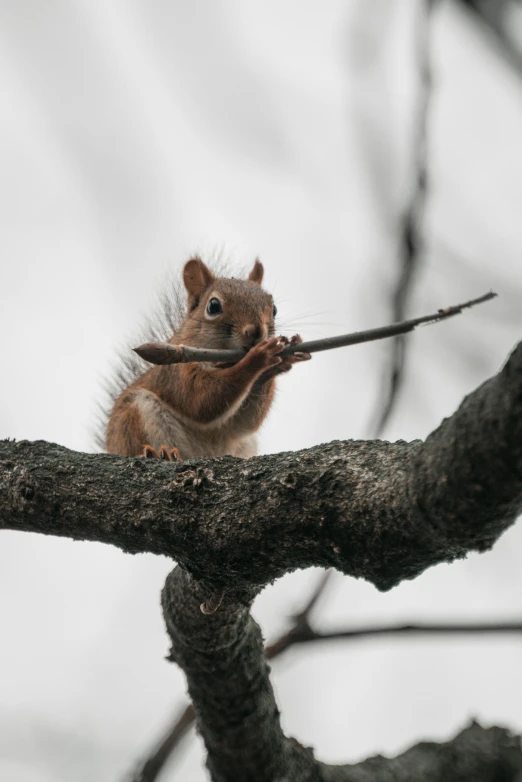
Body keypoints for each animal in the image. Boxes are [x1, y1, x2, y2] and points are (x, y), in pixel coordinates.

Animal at [103, 258, 310, 462]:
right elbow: (201, 400)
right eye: (213, 306)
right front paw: (259, 357)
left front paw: (280, 359)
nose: (256, 332)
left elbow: (245, 421)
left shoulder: (235, 423)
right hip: (134, 416)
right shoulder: (176, 370)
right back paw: (159, 455)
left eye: (274, 309)